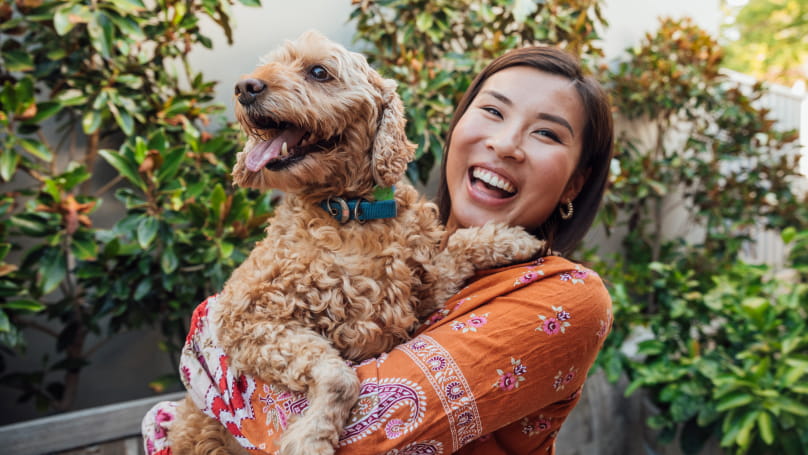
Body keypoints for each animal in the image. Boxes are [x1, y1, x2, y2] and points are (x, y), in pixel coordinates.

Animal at [170, 32, 544, 455]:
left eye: (319, 72)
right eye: (268, 66)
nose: (245, 87)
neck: (351, 211)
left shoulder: (421, 294)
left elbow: (459, 245)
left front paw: (514, 239)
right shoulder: (245, 315)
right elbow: (340, 377)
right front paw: (311, 438)